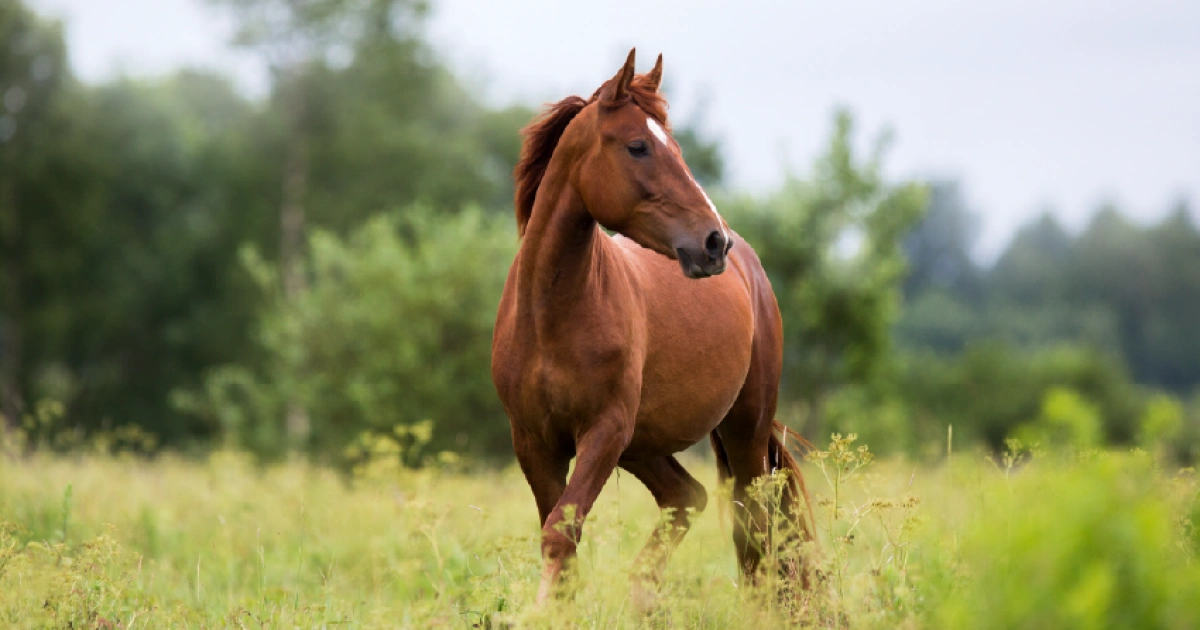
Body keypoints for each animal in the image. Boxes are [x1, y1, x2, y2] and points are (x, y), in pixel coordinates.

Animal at [491, 48, 815, 606]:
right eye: (638, 146)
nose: (713, 243)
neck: (552, 317)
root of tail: (750, 269)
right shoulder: (535, 442)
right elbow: (560, 540)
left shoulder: (603, 431)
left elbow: (561, 533)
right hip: (643, 445)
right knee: (688, 497)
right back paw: (642, 595)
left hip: (741, 430)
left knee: (754, 526)